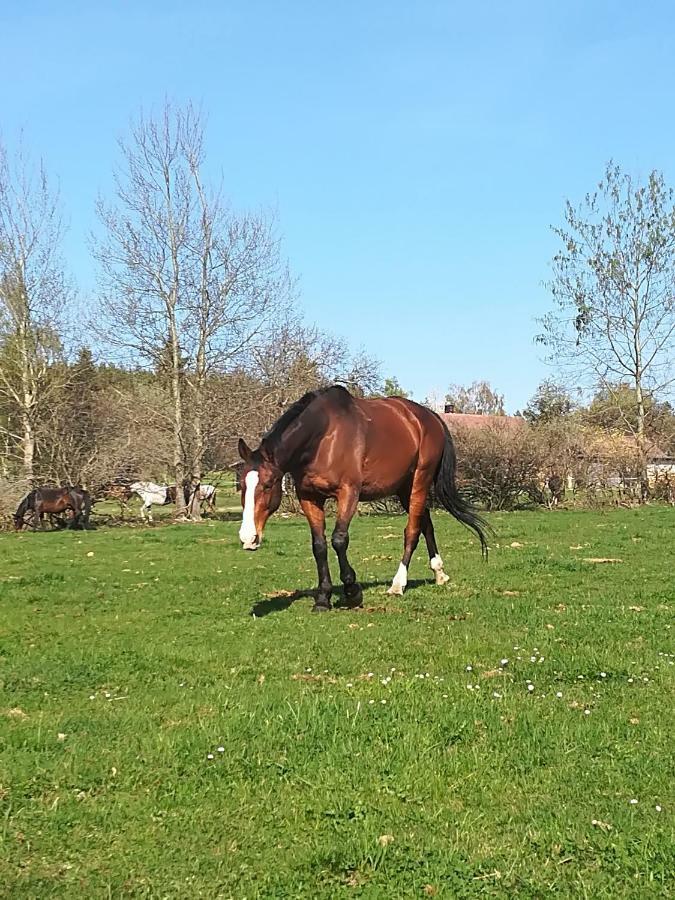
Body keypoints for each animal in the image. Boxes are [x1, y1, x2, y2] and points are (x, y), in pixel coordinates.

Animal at [239, 386, 492, 612]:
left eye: (268, 484)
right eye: (241, 485)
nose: (248, 537)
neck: (323, 437)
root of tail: (431, 418)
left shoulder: (348, 492)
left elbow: (339, 540)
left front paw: (352, 591)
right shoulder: (309, 497)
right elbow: (319, 545)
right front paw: (323, 599)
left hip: (420, 481)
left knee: (412, 531)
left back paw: (398, 584)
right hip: (404, 487)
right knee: (425, 524)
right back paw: (439, 573)